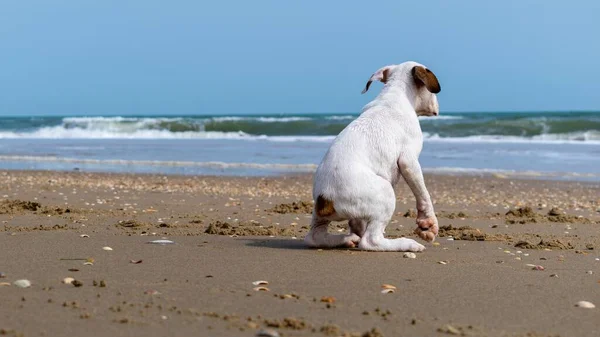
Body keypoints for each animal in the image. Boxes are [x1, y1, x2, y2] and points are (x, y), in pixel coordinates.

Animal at [304, 60, 440, 251]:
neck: (395, 92)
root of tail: (326, 200)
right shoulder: (409, 161)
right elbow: (423, 194)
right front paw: (428, 223)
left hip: (320, 216)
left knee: (315, 236)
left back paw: (347, 239)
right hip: (385, 193)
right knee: (370, 240)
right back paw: (406, 244)